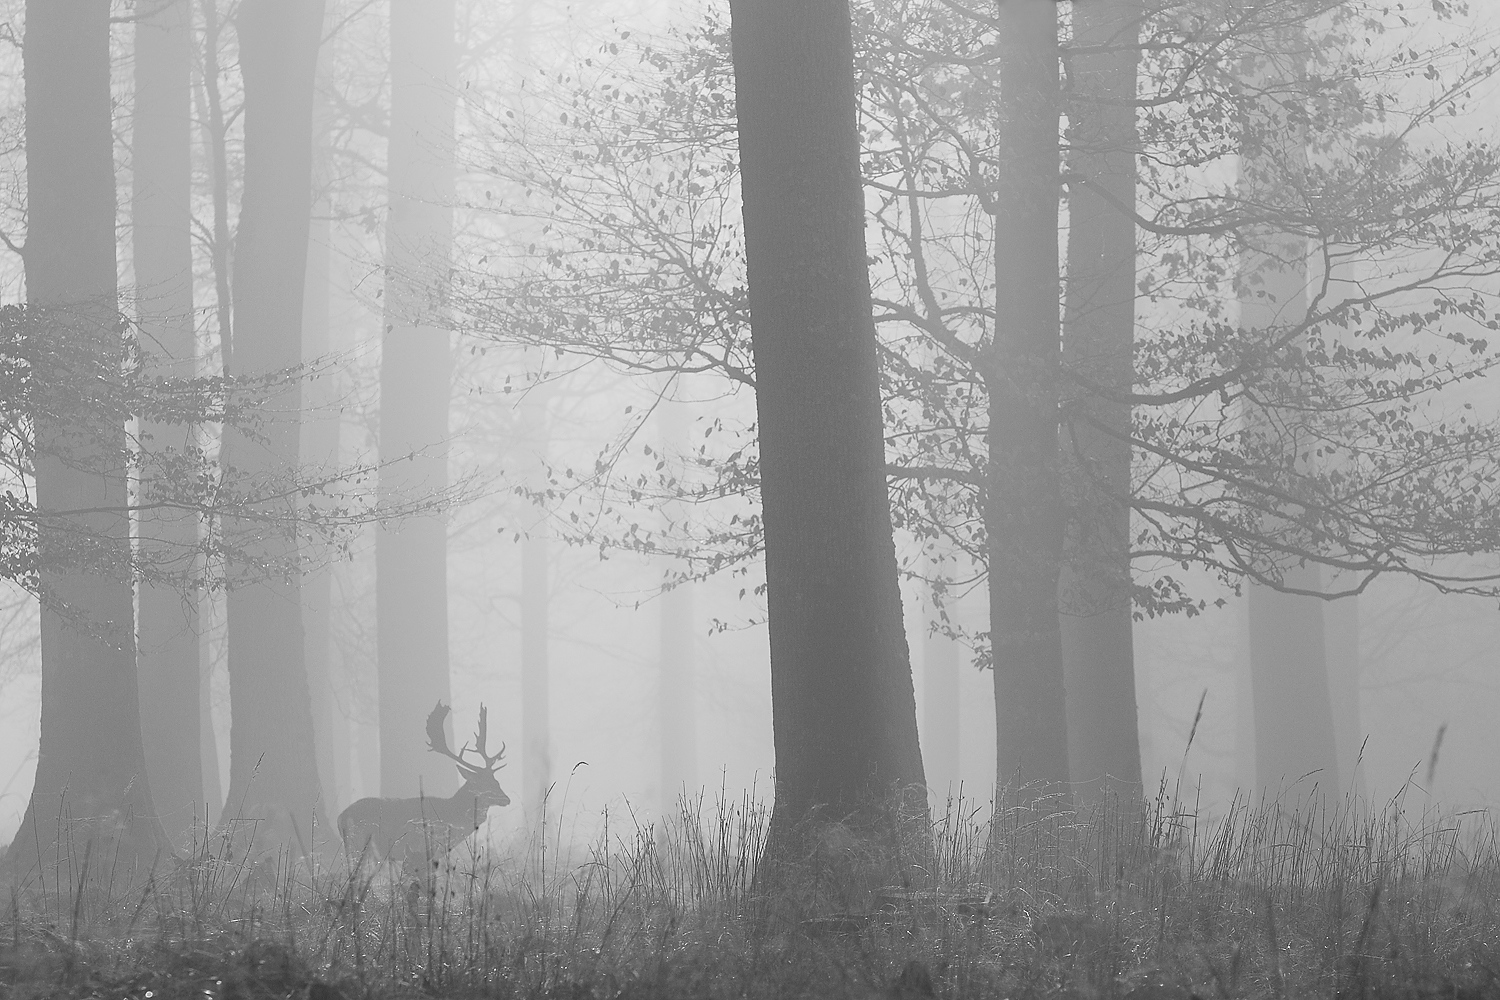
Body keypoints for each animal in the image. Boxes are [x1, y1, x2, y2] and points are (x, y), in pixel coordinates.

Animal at [336, 695, 510, 875]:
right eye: (482, 783)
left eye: (496, 781)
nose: (506, 799)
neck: (451, 817)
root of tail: (340, 817)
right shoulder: (421, 848)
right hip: (358, 844)